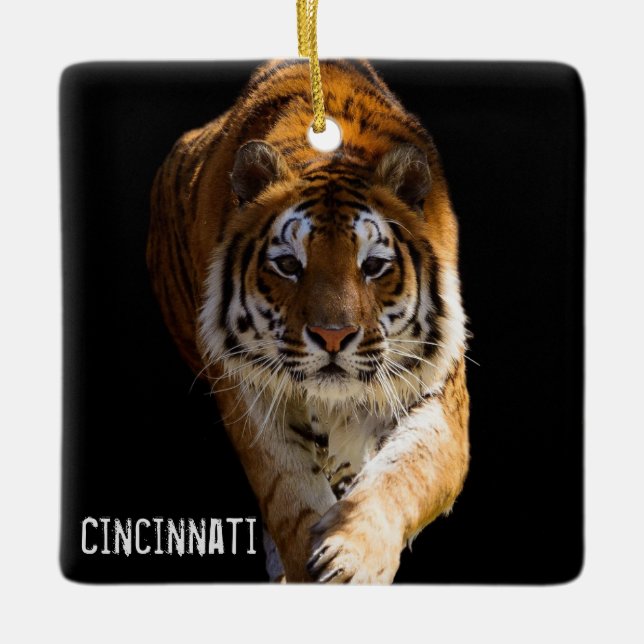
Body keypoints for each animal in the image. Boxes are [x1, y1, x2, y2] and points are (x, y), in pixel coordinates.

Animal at [147, 59, 470, 583]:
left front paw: (352, 556)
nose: (332, 336)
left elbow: (404, 473)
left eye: (372, 266)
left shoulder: (438, 392)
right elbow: (289, 493)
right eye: (288, 265)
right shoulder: (249, 393)